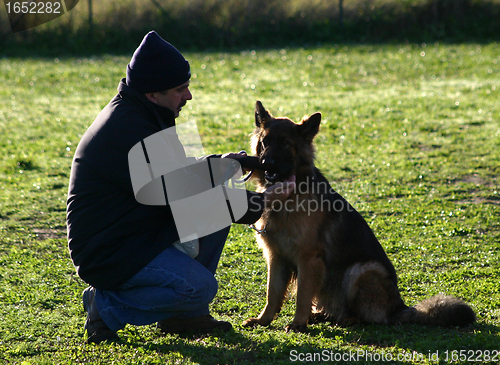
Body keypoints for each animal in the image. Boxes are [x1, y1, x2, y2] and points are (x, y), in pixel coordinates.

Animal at [243, 101, 476, 332]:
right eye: (265, 142)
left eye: (285, 143)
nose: (266, 163)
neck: (289, 198)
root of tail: (399, 307)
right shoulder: (276, 258)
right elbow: (272, 294)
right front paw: (263, 320)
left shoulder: (308, 259)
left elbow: (302, 296)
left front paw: (298, 324)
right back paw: (321, 315)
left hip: (362, 269)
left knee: (368, 316)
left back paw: (345, 319)